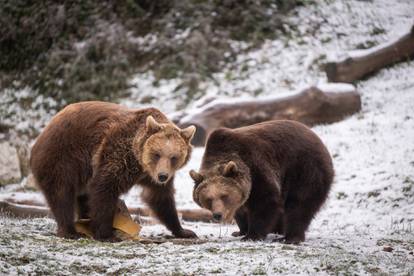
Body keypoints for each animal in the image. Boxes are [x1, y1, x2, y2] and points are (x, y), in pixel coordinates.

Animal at [29, 101, 197, 242]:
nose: (162, 176)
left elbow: (160, 198)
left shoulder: (152, 176)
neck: (141, 163)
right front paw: (106, 234)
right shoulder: (118, 153)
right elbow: (105, 187)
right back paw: (70, 231)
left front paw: (184, 231)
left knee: (80, 196)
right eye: (157, 154)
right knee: (62, 193)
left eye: (174, 157)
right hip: (63, 156)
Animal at [189, 119, 334, 243]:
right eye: (208, 199)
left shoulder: (256, 168)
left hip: (304, 170)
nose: (217, 215)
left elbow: (265, 201)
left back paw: (290, 237)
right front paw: (240, 231)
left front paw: (251, 235)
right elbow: (240, 209)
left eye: (224, 196)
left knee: (299, 204)